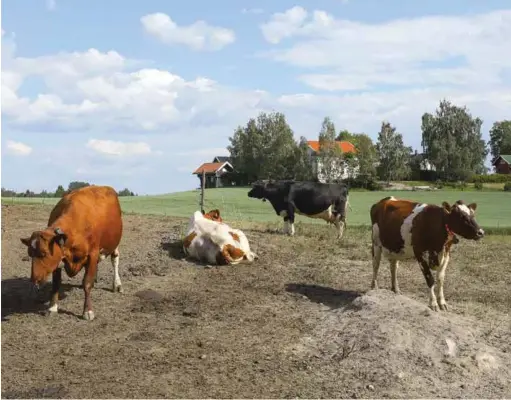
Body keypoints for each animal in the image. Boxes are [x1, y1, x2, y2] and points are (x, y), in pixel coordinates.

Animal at [20, 185, 125, 322]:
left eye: (44, 253)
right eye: (30, 254)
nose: (34, 280)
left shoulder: (93, 254)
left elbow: (87, 283)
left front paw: (88, 311)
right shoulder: (58, 259)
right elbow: (56, 284)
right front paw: (52, 307)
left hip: (115, 243)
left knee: (115, 260)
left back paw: (117, 284)